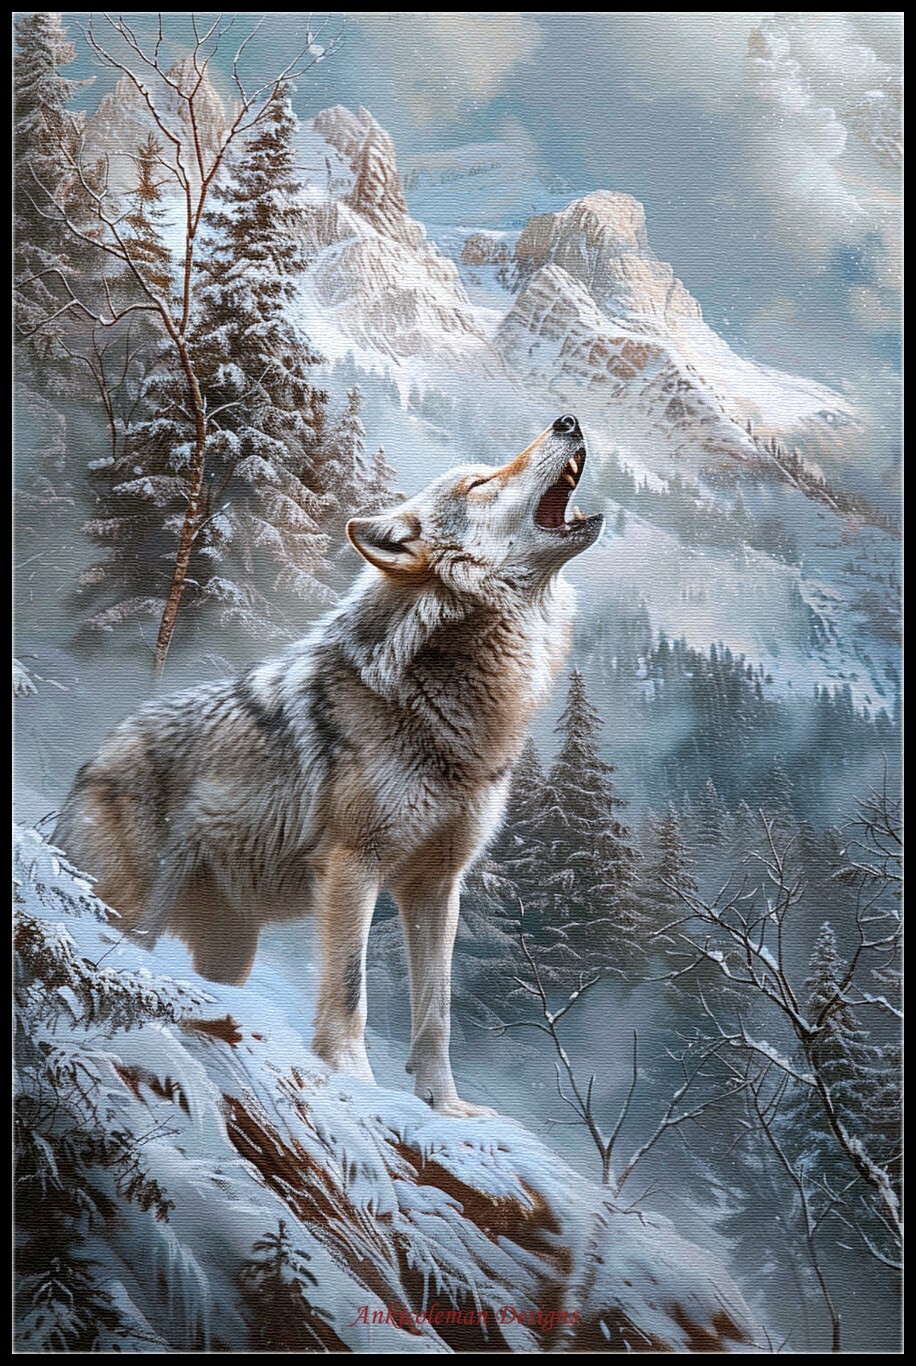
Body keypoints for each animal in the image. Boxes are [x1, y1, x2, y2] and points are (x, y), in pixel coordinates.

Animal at [53, 414, 603, 1117]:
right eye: (480, 483)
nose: (569, 419)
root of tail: (90, 760)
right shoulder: (352, 865)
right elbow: (349, 988)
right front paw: (354, 1080)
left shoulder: (437, 884)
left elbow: (437, 1012)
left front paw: (445, 1107)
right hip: (133, 913)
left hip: (229, 951)